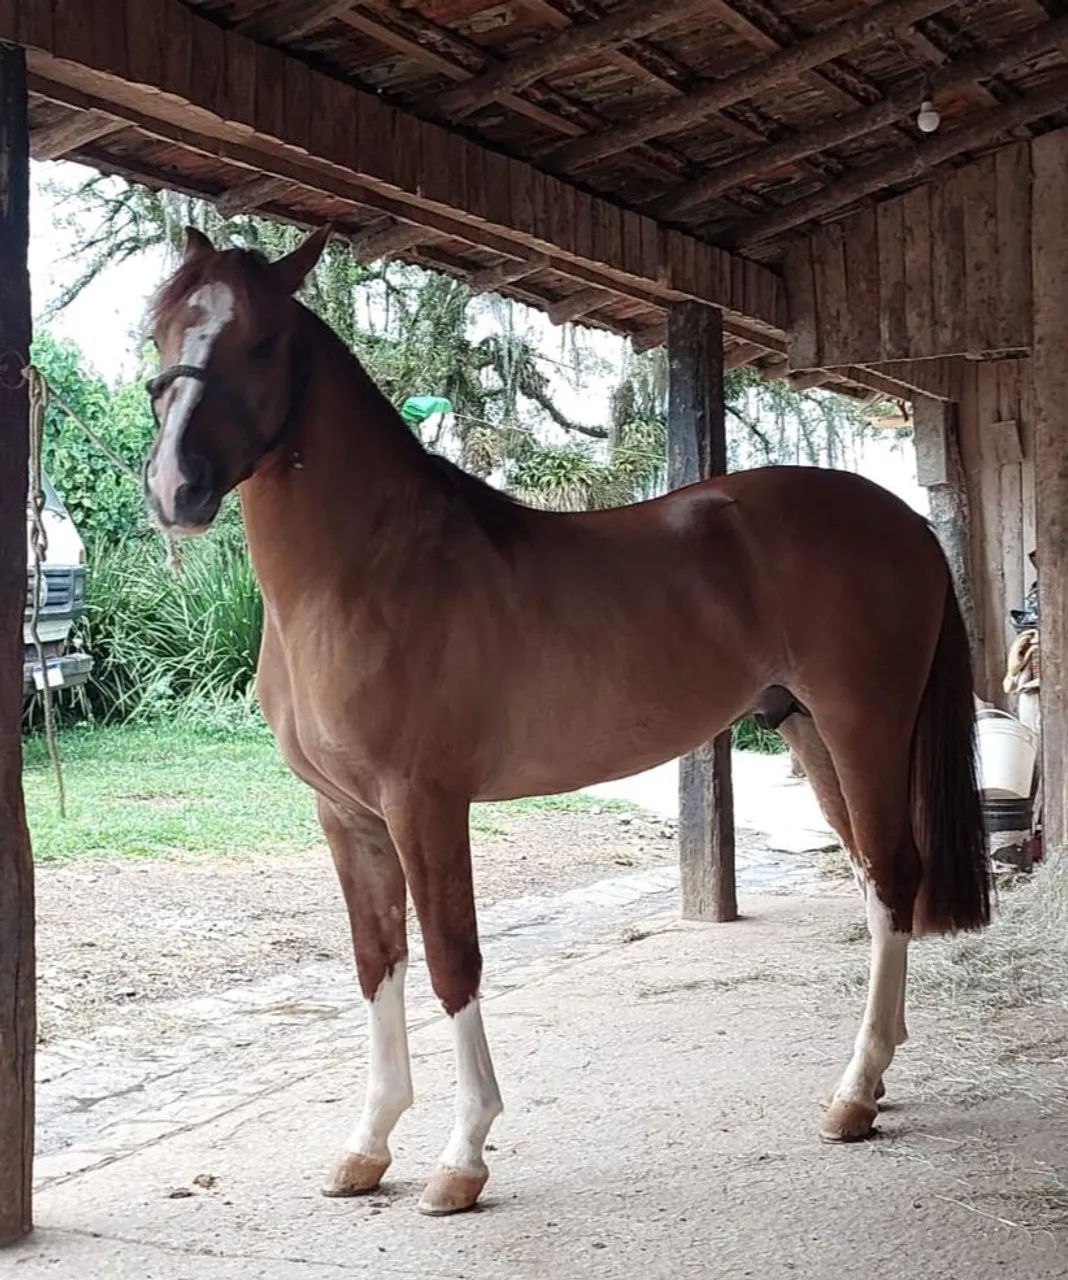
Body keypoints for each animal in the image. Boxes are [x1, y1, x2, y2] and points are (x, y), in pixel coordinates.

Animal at [142, 227, 990, 1217]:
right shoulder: (347, 815)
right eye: (164, 330)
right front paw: (367, 1145)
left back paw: (852, 1094)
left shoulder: (424, 803)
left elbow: (451, 960)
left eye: (264, 341)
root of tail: (905, 520)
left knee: (893, 878)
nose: (175, 486)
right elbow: (376, 959)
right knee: (872, 878)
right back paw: (877, 1077)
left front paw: (462, 1157)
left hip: (865, 728)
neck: (364, 573)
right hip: (811, 732)